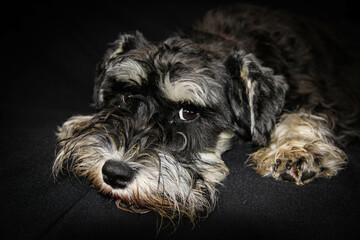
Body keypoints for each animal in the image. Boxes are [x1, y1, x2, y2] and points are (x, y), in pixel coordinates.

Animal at [53, 3, 360, 221]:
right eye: (127, 95)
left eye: (188, 112)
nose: (114, 173)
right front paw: (82, 123)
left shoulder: (317, 94)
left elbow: (302, 114)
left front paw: (296, 150)